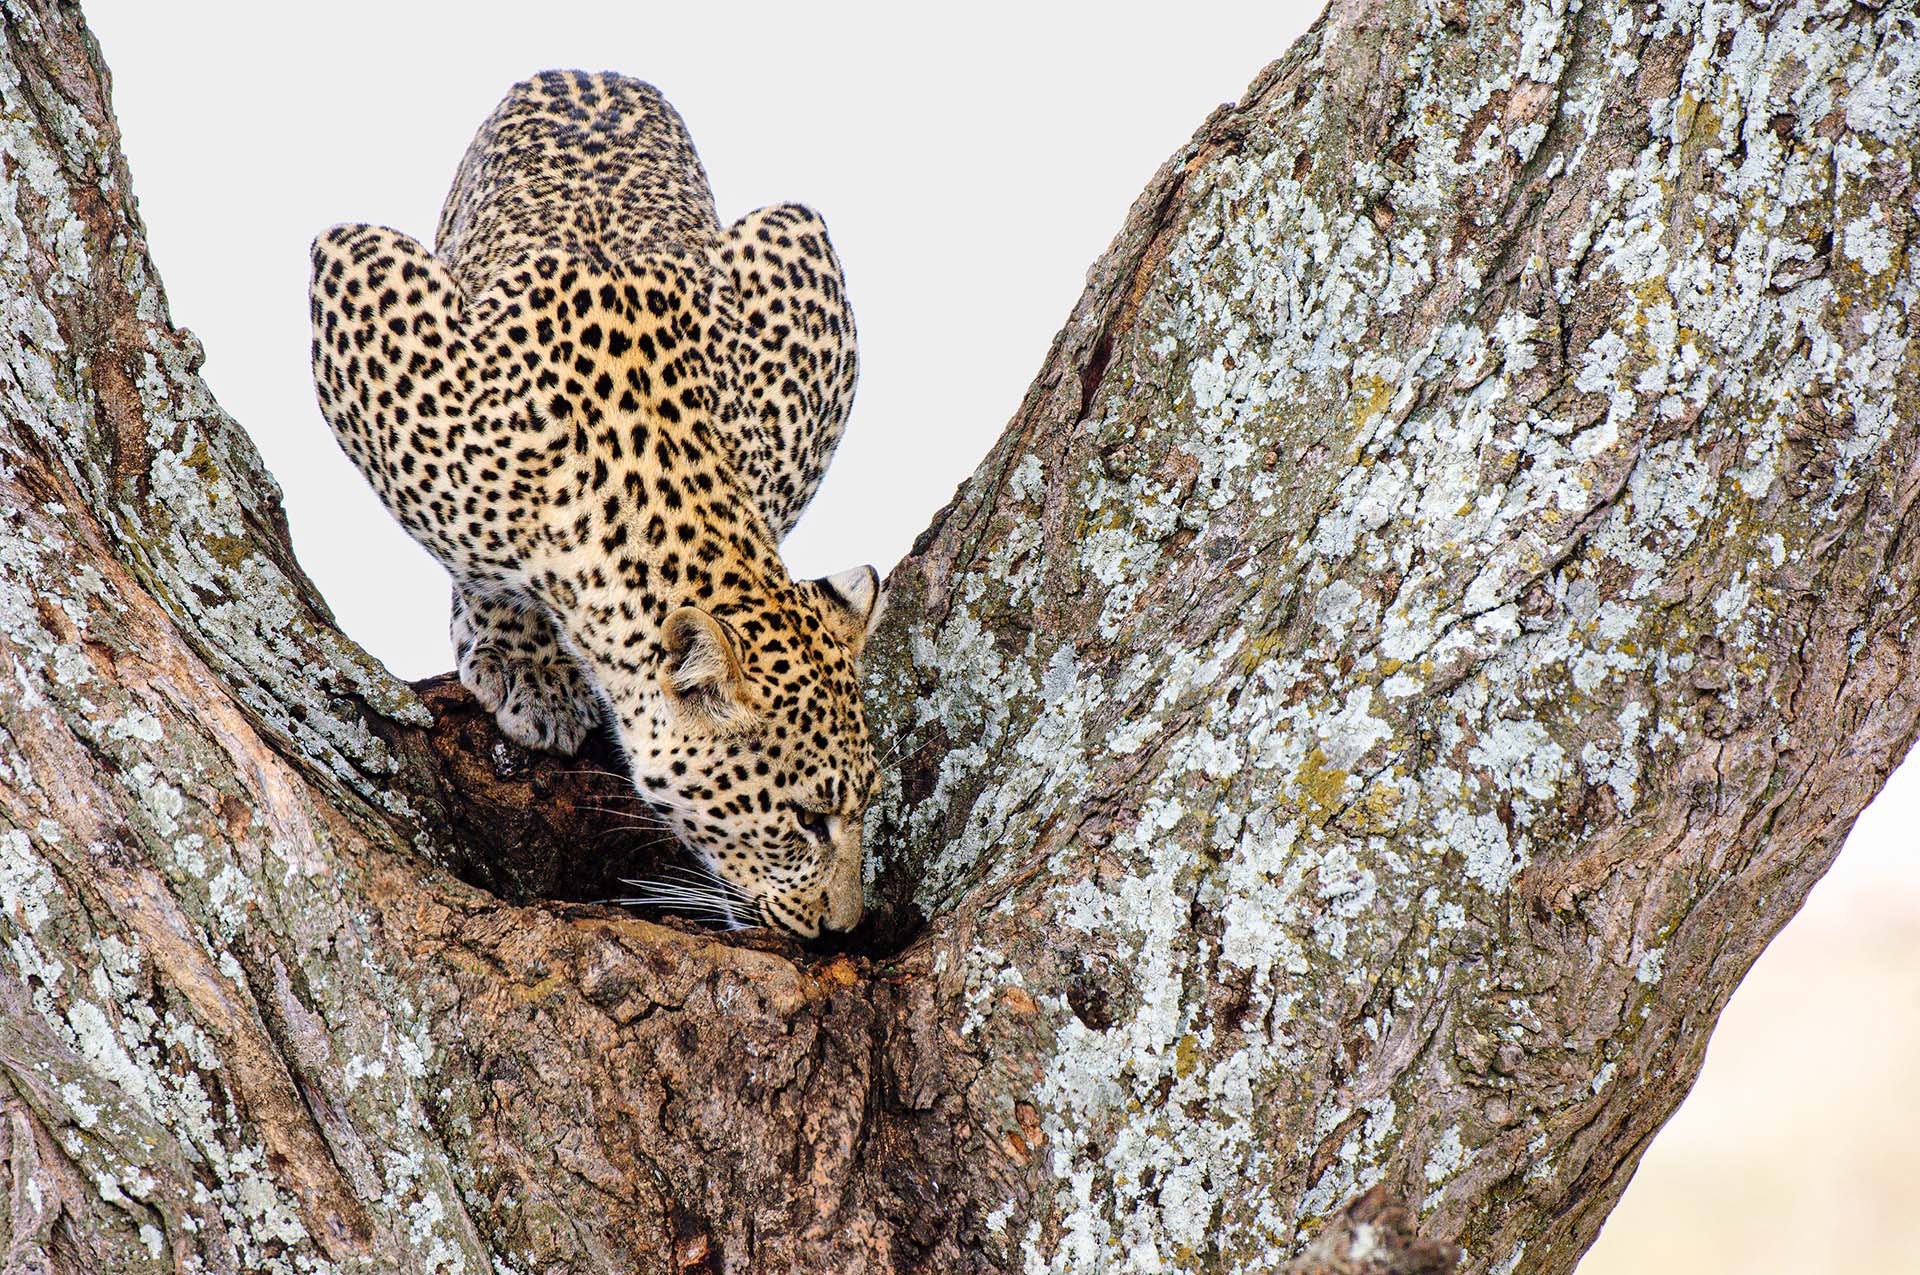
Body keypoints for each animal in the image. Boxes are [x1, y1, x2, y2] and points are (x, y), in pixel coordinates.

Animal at [311, 69, 879, 937]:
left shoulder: (802, 273)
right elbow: (486, 573)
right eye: (807, 819)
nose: (847, 927)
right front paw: (524, 664)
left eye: (867, 804)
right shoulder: (357, 271)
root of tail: (586, 67)